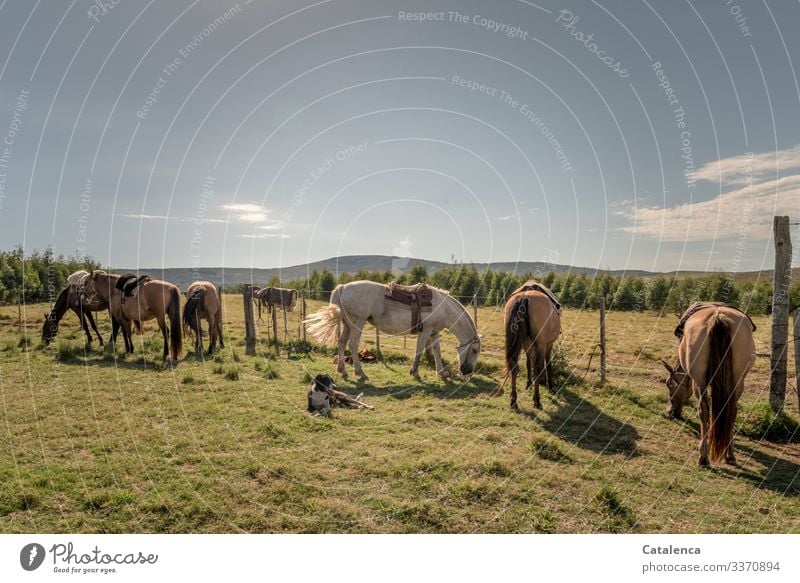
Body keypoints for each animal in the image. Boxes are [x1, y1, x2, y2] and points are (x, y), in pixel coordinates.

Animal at [304, 282, 482, 384]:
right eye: (474, 350)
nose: (467, 371)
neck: (443, 307)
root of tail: (342, 287)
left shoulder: (434, 332)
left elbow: (437, 352)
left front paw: (442, 372)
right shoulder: (425, 332)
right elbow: (419, 351)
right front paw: (415, 373)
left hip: (348, 324)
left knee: (342, 343)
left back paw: (342, 370)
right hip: (358, 322)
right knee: (353, 345)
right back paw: (360, 373)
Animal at [660, 304, 752, 468]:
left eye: (668, 384)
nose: (672, 412)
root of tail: (718, 318)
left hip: (700, 382)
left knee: (703, 410)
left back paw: (703, 456)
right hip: (738, 381)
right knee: (732, 411)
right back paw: (729, 454)